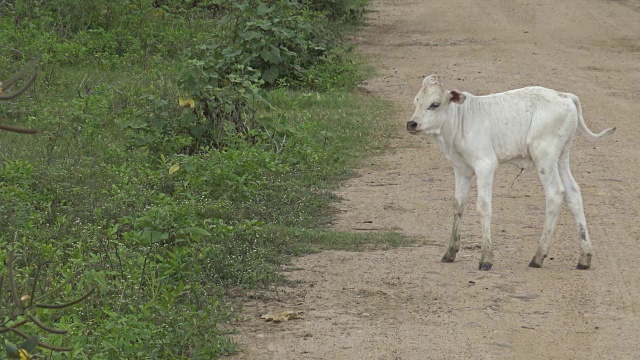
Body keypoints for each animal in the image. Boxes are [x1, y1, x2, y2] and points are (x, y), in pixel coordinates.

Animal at [408, 74, 616, 270]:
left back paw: (538, 257)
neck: (461, 122)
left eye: (434, 104)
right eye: (416, 101)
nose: (411, 123)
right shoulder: (461, 170)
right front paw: (450, 252)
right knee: (573, 193)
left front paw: (486, 258)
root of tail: (564, 95)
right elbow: (458, 205)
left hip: (545, 156)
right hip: (561, 157)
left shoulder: (485, 166)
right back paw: (584, 257)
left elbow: (483, 207)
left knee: (556, 194)